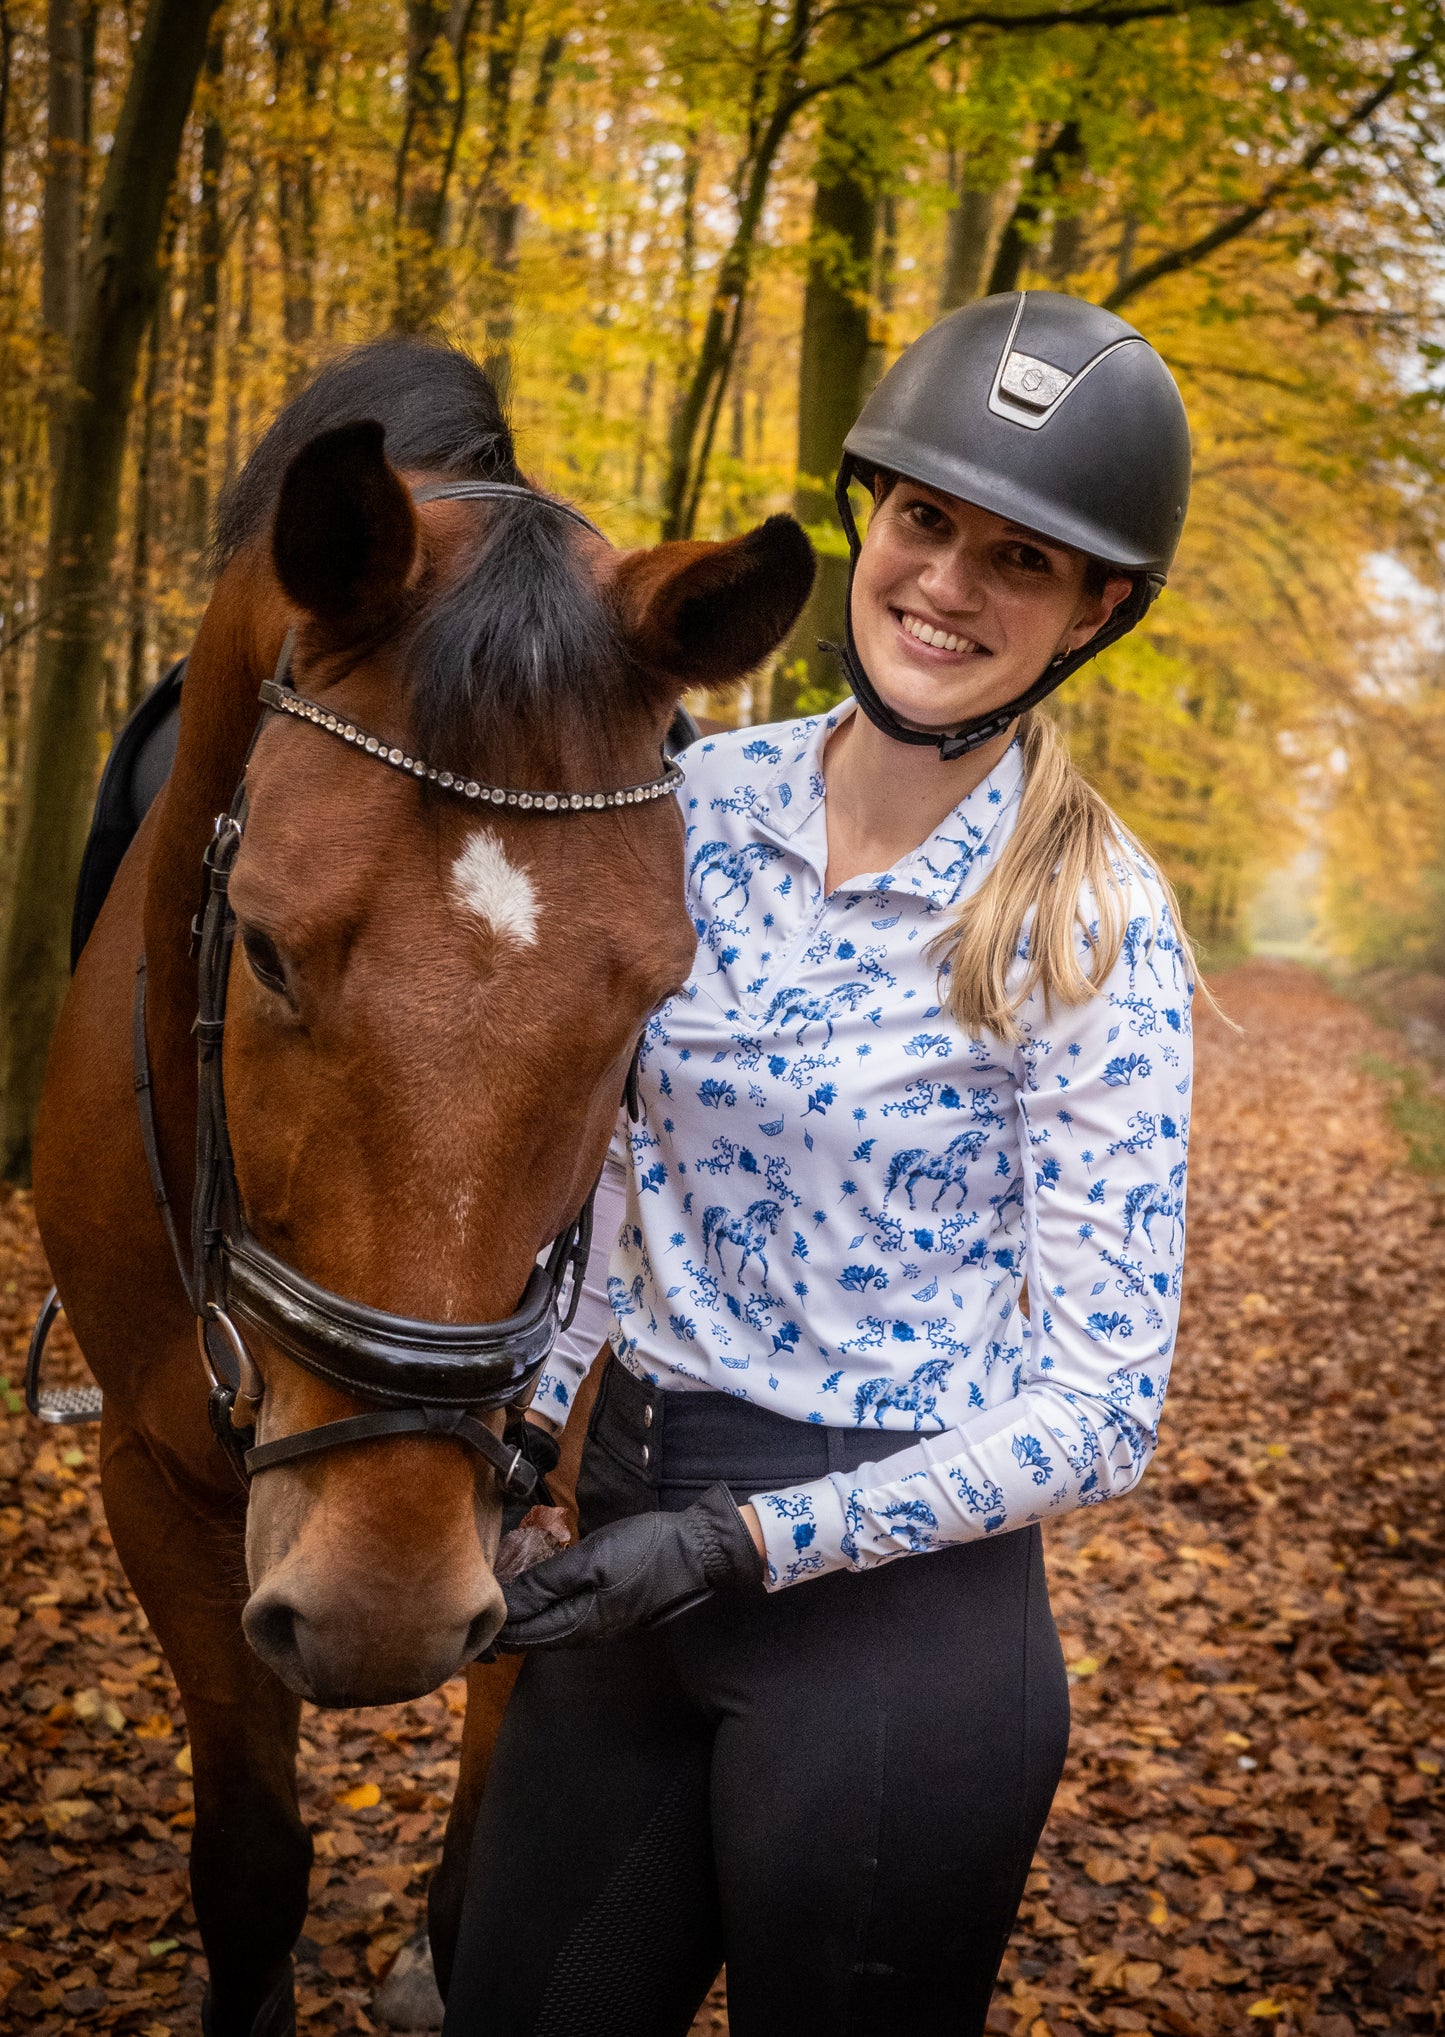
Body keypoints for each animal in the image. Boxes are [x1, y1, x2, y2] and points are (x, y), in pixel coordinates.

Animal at [30, 338, 811, 2037]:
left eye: (657, 991)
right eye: (260, 945)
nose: (374, 1603)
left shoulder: (547, 1518)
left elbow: (491, 1846)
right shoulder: (151, 1483)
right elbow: (251, 1858)